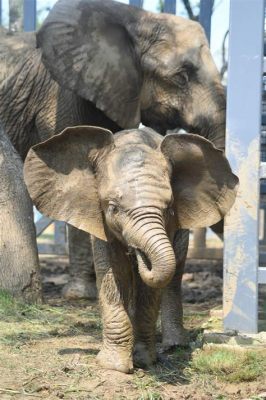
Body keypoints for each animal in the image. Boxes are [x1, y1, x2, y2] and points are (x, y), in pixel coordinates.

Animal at [23, 125, 238, 372]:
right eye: (113, 207)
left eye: (169, 208)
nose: (138, 252)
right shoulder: (100, 221)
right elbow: (113, 273)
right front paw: (114, 366)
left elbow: (152, 285)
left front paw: (144, 360)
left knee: (173, 276)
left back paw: (174, 345)